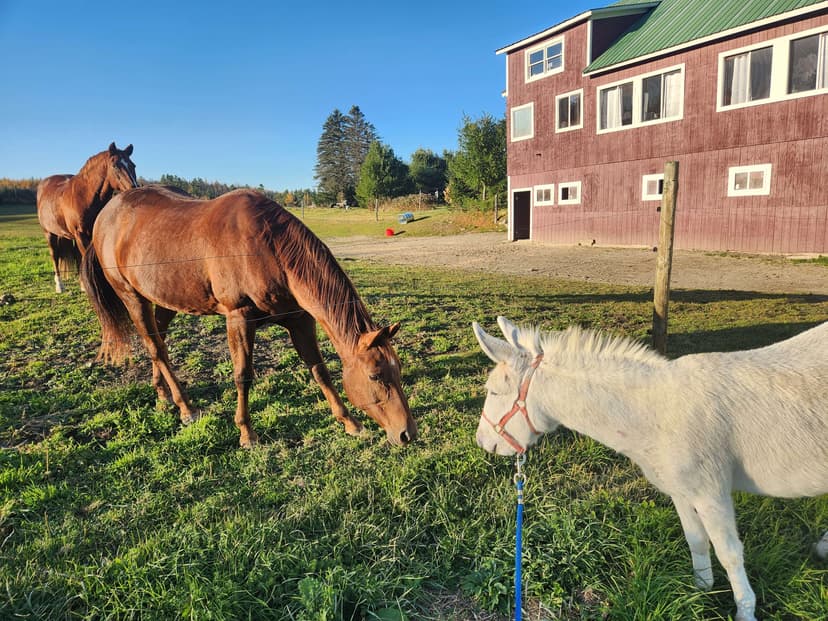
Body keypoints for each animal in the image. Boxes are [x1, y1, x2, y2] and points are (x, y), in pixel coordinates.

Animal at [37, 142, 138, 293]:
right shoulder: (80, 234)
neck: (85, 196)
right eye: (115, 166)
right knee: (54, 256)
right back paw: (60, 286)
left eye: (133, 165)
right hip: (49, 233)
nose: (134, 188)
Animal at [80, 186, 417, 448]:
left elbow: (319, 370)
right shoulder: (239, 319)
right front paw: (247, 434)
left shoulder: (299, 320)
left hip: (165, 300)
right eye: (375, 376)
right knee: (156, 349)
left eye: (398, 369)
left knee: (158, 341)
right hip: (132, 297)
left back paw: (163, 394)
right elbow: (243, 375)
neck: (269, 247)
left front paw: (350, 423)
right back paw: (186, 408)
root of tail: (105, 215)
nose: (407, 434)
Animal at [473, 316, 828, 621]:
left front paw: (744, 610)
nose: (483, 443)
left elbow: (729, 553)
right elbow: (696, 540)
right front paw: (700, 589)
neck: (655, 413)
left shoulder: (711, 491)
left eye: (493, 391)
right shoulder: (681, 489)